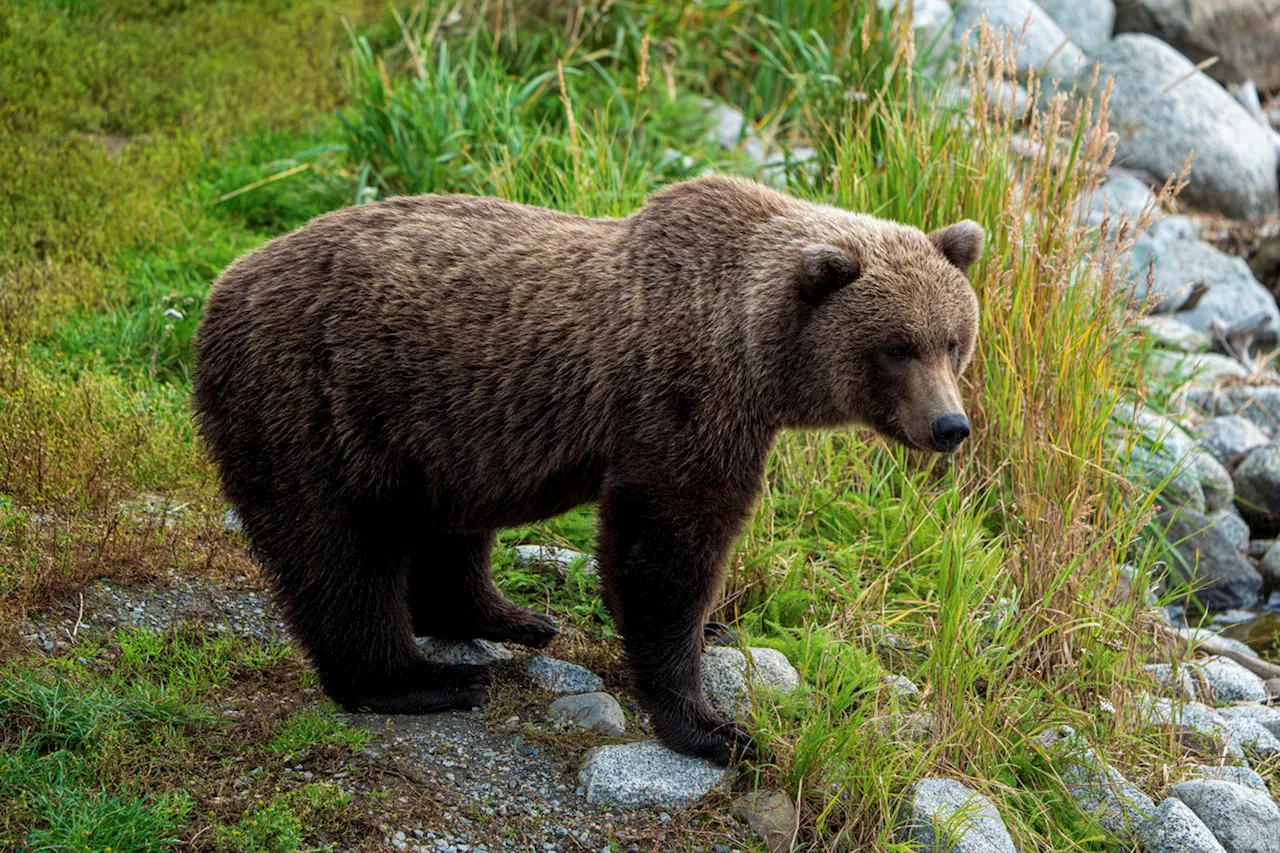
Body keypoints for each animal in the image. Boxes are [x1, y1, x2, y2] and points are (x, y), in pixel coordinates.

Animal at [194, 175, 983, 758]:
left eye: (954, 340)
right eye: (897, 347)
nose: (951, 426)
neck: (754, 354)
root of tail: (221, 286)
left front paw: (715, 633)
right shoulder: (683, 404)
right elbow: (664, 547)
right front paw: (713, 725)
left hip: (438, 432)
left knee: (447, 528)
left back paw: (511, 617)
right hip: (318, 404)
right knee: (340, 551)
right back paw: (426, 679)